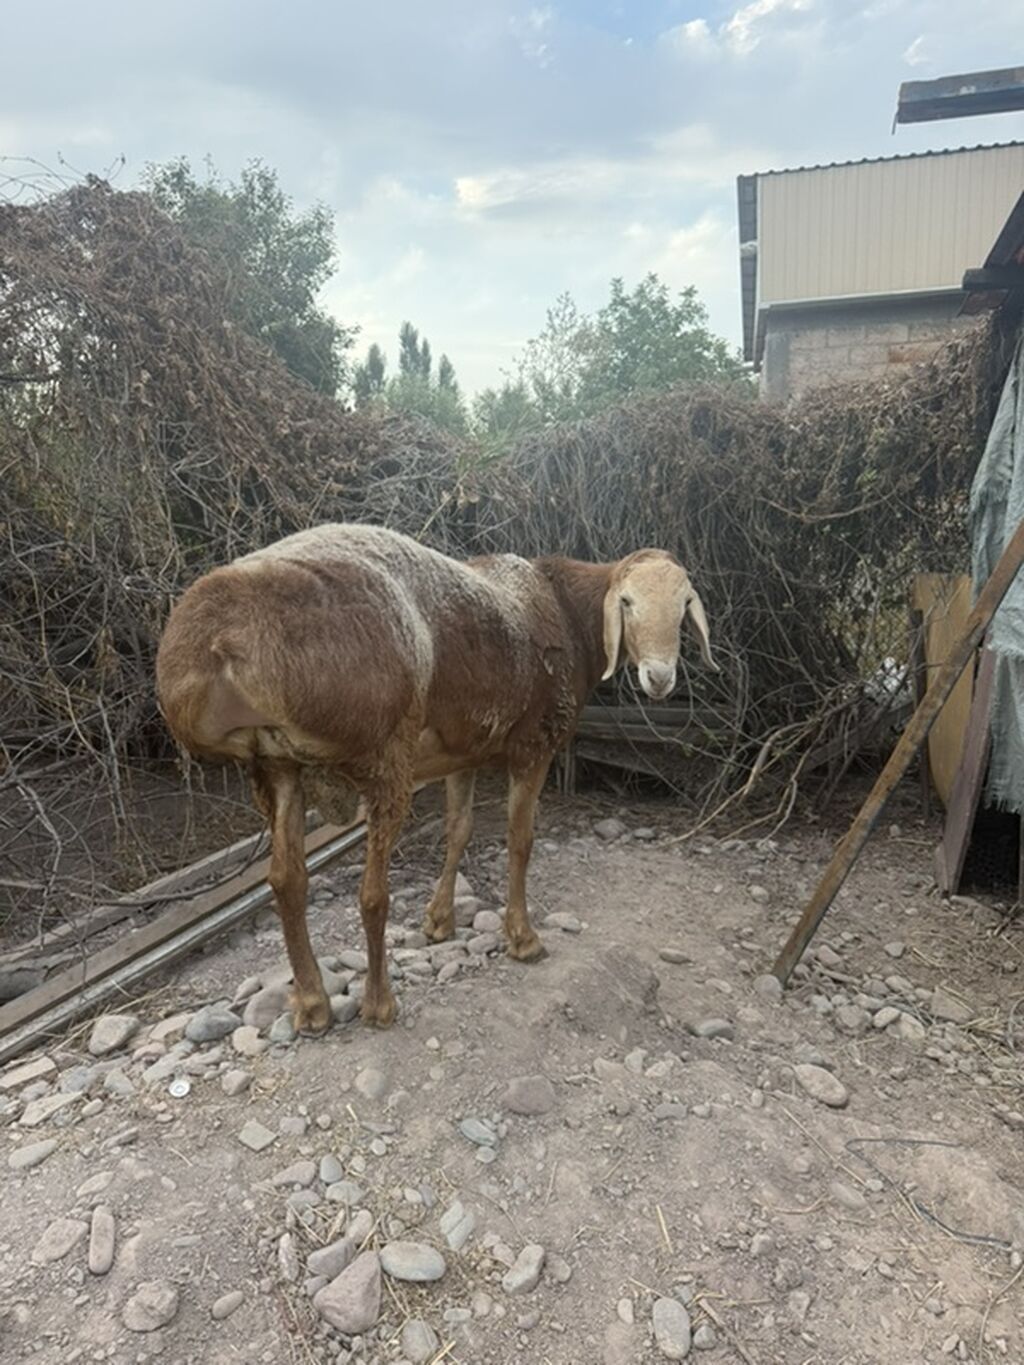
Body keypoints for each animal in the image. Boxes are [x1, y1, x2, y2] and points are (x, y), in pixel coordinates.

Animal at [155, 523, 717, 1032]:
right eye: (626, 602)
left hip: (277, 768)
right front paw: (523, 937)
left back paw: (313, 1005)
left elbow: (458, 831)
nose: (660, 678)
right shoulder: (533, 748)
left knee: (286, 881)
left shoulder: (461, 752)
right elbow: (520, 840)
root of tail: (223, 636)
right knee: (371, 894)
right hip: (384, 758)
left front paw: (439, 920)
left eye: (684, 604)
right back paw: (379, 1005)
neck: (566, 610)